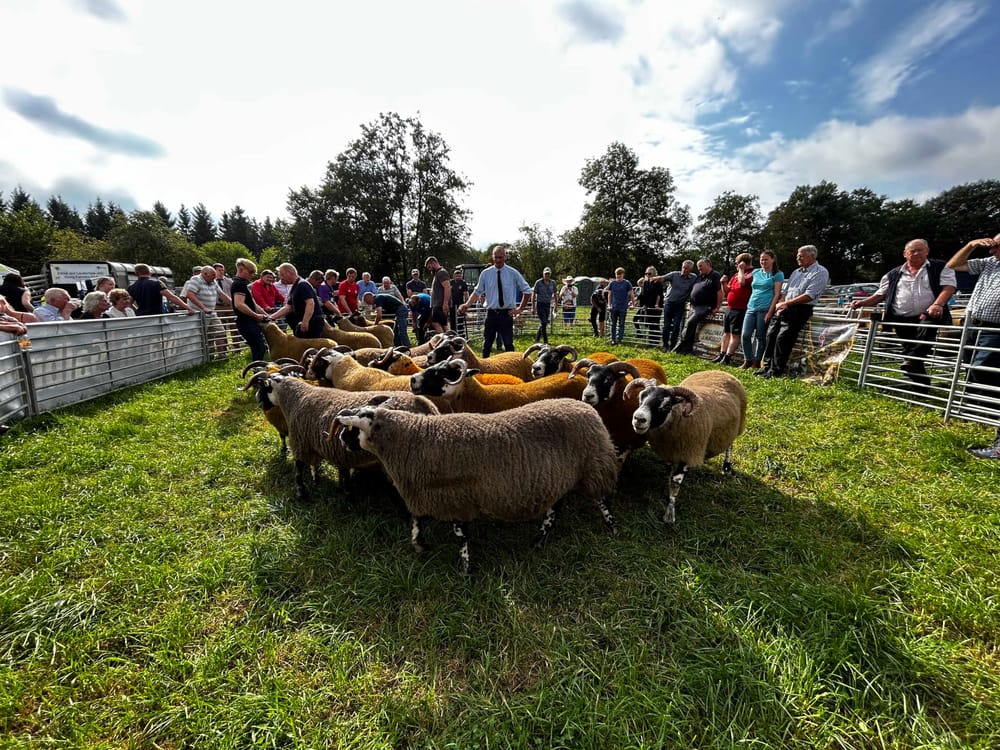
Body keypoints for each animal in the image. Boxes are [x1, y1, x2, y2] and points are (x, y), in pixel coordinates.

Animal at [248, 374, 440, 502]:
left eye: (262, 388)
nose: (259, 402)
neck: (295, 398)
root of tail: (426, 405)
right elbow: (318, 467)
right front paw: (320, 482)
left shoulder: (300, 441)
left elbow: (298, 469)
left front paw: (302, 493)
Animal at [332, 400, 620, 576]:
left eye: (353, 427)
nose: (341, 440)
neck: (412, 436)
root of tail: (588, 408)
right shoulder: (426, 494)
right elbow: (416, 521)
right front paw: (420, 545)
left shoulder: (455, 499)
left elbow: (461, 536)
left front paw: (465, 568)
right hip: (557, 479)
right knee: (554, 510)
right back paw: (539, 540)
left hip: (594, 466)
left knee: (602, 501)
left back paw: (612, 528)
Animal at [628, 372, 748, 524]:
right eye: (641, 397)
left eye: (667, 405)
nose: (639, 419)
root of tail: (721, 372)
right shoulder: (667, 453)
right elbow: (669, 477)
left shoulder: (688, 453)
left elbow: (675, 483)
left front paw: (670, 513)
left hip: (736, 428)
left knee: (730, 446)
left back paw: (726, 467)